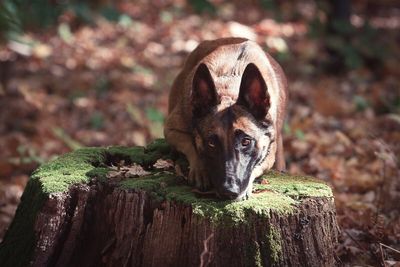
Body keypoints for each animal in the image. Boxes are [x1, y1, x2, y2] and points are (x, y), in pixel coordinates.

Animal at [164, 37, 290, 201]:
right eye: (211, 143)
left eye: (246, 142)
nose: (229, 191)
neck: (230, 90)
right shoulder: (171, 130)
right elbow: (191, 146)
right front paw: (201, 170)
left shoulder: (269, 154)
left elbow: (257, 167)